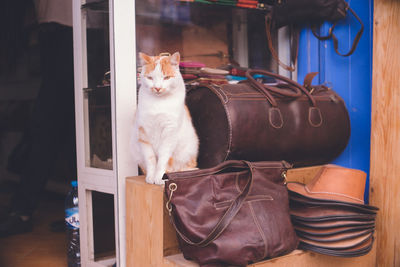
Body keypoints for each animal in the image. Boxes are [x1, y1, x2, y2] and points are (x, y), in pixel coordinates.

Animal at [132, 52, 199, 186]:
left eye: (166, 78)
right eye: (150, 78)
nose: (157, 88)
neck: (158, 103)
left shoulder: (169, 134)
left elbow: (163, 159)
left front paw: (159, 178)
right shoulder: (143, 134)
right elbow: (151, 160)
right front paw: (150, 177)